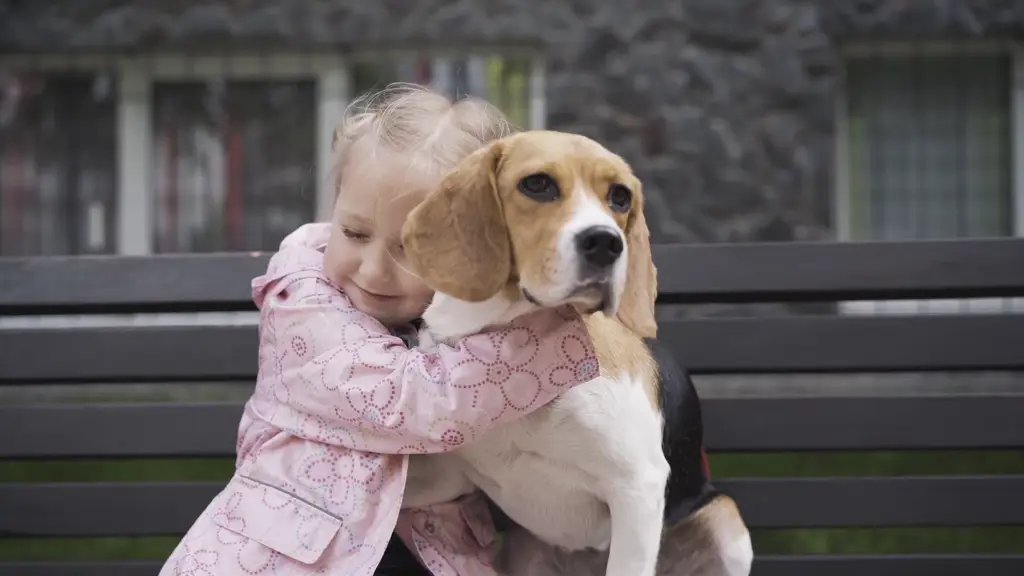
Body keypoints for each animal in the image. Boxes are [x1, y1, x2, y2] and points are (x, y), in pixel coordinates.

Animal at [399, 131, 753, 573]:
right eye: (537, 184)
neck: (509, 353)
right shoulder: (448, 474)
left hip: (726, 524)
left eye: (620, 196)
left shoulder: (638, 485)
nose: (605, 243)